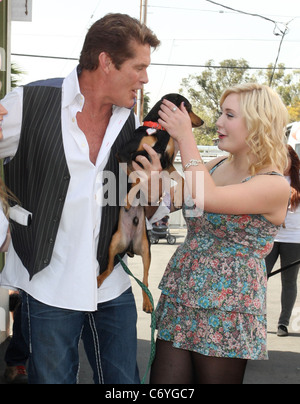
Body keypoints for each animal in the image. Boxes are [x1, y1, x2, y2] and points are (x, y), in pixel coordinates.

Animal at [97, 94, 203, 312]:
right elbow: (138, 178)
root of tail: (129, 246)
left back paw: (147, 303)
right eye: (188, 107)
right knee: (109, 267)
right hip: (113, 243)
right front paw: (129, 198)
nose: (203, 121)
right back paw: (99, 279)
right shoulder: (126, 155)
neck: (158, 131)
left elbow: (180, 178)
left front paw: (179, 195)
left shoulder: (165, 162)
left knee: (145, 280)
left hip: (146, 250)